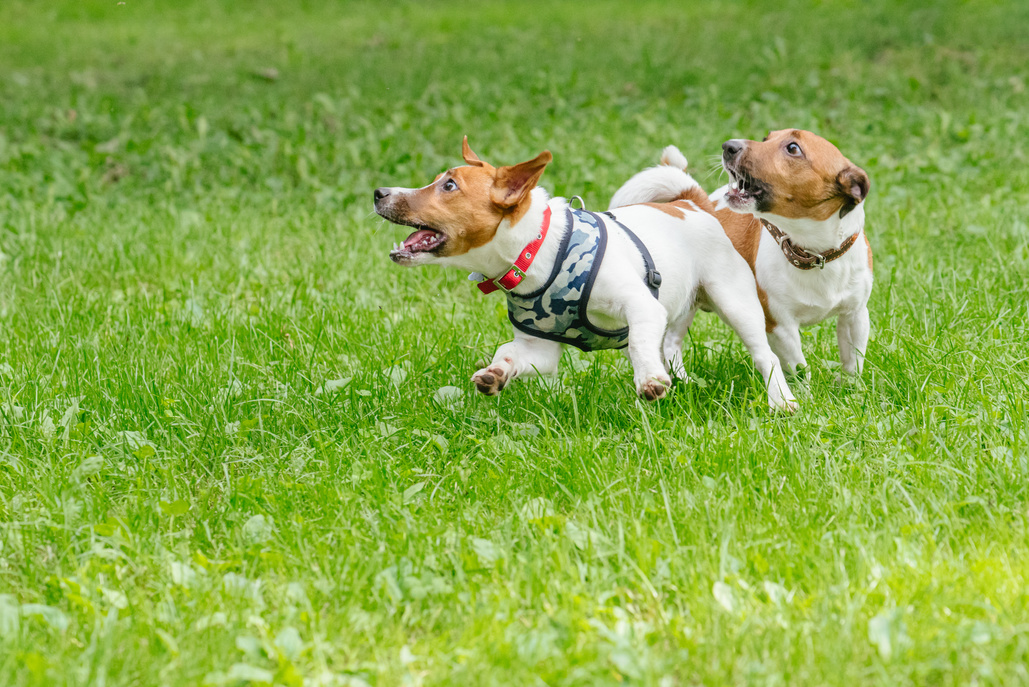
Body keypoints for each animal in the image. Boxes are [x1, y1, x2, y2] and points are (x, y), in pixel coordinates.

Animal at [374, 136, 798, 411]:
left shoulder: (642, 308)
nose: (378, 192)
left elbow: (639, 345)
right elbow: (509, 352)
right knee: (671, 346)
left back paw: (782, 401)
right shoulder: (539, 350)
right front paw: (496, 372)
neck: (538, 249)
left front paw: (648, 379)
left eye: (449, 185)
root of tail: (691, 204)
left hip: (735, 301)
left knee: (765, 356)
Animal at [613, 130, 872, 380]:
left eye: (793, 148)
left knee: (670, 343)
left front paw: (851, 390)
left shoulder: (856, 316)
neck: (814, 255)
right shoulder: (780, 327)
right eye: (766, 137)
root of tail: (690, 201)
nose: (729, 145)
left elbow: (853, 364)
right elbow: (799, 370)